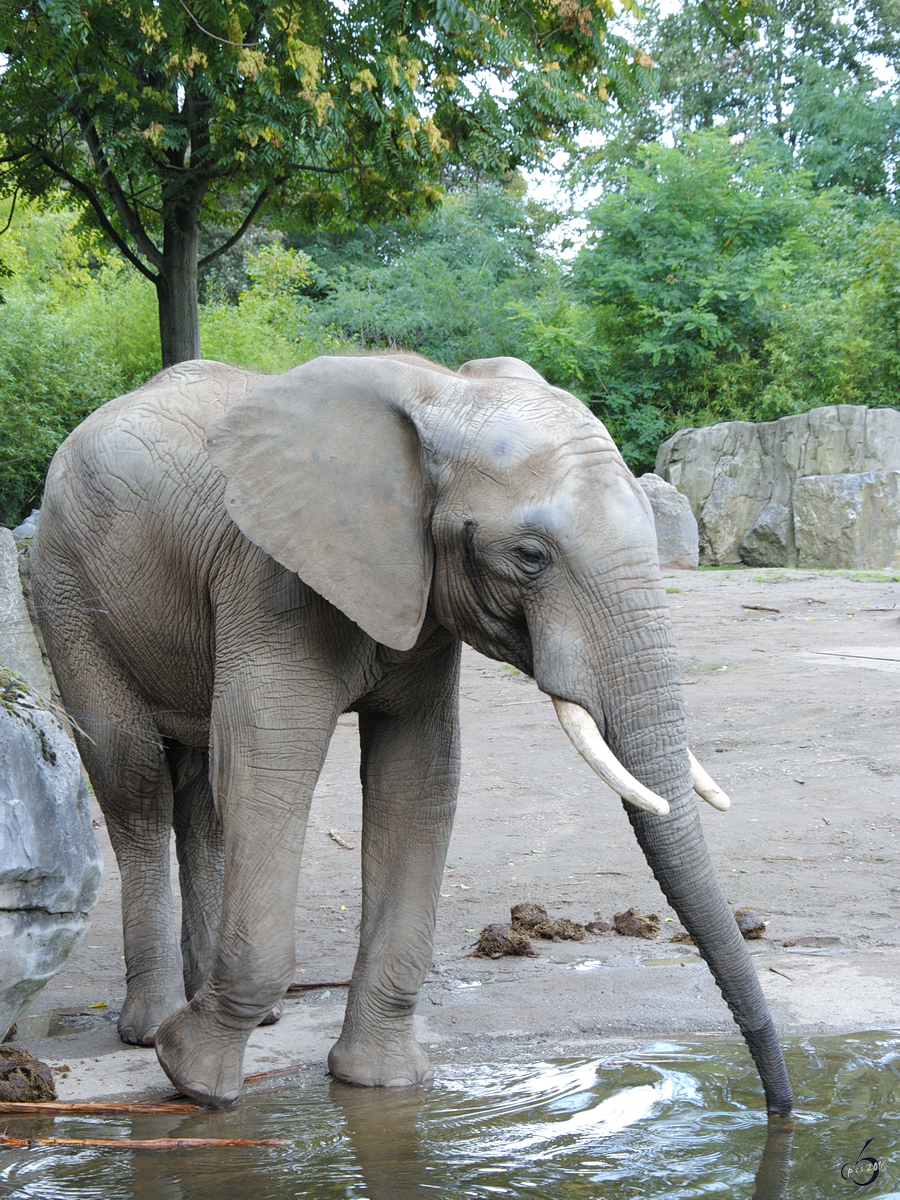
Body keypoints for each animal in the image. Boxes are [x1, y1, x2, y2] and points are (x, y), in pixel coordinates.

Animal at [28, 350, 792, 1113]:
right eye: (531, 557)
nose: (779, 1107)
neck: (444, 394)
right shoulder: (271, 577)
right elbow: (269, 767)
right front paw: (194, 1077)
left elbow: (417, 778)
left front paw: (382, 1083)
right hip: (69, 589)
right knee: (135, 782)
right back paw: (153, 1028)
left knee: (202, 793)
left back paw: (238, 1015)